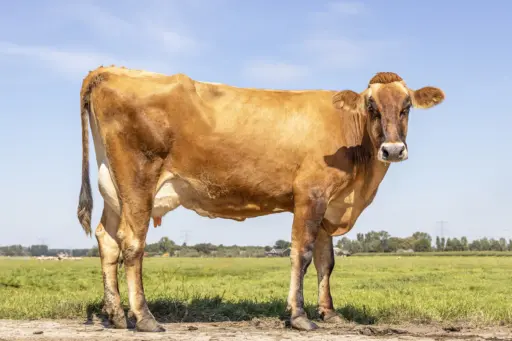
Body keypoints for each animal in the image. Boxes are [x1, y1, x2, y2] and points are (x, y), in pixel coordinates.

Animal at [76, 67, 444, 330]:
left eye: (407, 106)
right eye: (371, 106)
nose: (393, 149)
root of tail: (110, 70)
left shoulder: (329, 204)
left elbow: (326, 261)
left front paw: (329, 312)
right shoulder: (310, 195)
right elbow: (302, 254)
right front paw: (299, 316)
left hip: (113, 187)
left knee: (107, 239)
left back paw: (116, 314)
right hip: (137, 181)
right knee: (132, 243)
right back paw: (144, 318)